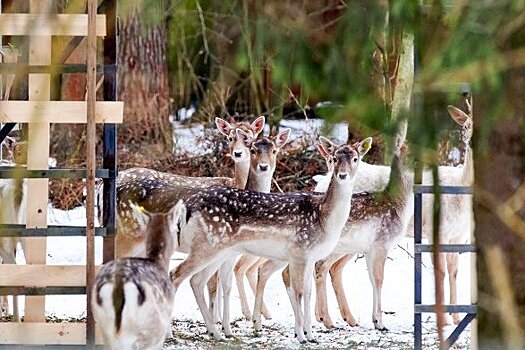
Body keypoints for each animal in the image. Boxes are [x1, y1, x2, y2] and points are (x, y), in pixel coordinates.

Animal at [170, 136, 370, 342]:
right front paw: (300, 336)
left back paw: (216, 333)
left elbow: (307, 292)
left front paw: (310, 335)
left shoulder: (311, 257)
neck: (324, 219)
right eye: (334, 158)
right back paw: (173, 334)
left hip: (217, 249)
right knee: (176, 274)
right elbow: (298, 292)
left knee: (197, 280)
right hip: (208, 245)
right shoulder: (300, 251)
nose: (342, 175)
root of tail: (188, 207)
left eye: (355, 159)